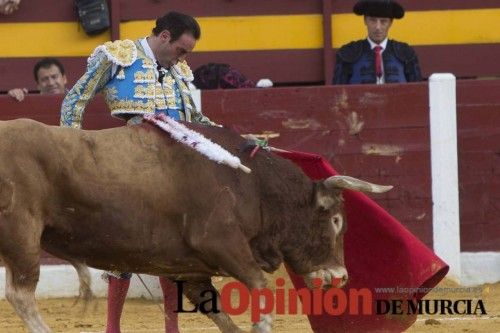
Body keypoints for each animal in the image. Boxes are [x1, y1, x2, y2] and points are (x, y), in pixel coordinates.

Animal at [0, 119, 390, 332]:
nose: (340, 277)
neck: (253, 184)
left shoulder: (189, 269)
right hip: (22, 235)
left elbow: (216, 311)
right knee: (20, 294)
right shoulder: (222, 244)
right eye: (336, 220)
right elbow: (260, 289)